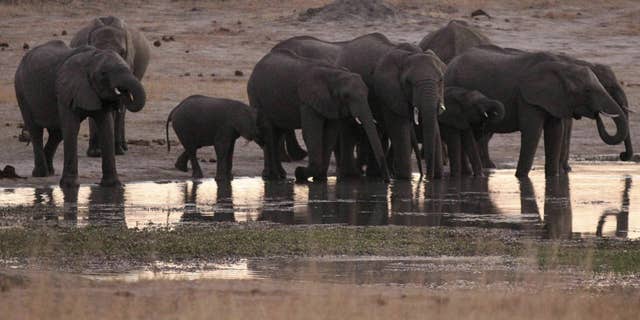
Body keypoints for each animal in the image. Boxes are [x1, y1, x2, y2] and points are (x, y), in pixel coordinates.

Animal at [14, 41, 146, 189]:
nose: (122, 93)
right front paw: (69, 186)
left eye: (129, 69)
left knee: (57, 134)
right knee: (36, 131)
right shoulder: (65, 90)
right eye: (103, 74)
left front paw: (113, 185)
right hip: (21, 91)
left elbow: (106, 128)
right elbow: (72, 128)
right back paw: (40, 173)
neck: (92, 58)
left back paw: (50, 171)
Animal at [249, 48, 390, 182]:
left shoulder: (333, 103)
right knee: (268, 131)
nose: (387, 180)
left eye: (367, 93)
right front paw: (300, 173)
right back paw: (270, 177)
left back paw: (280, 175)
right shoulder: (307, 101)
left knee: (278, 132)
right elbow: (312, 134)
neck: (335, 74)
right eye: (346, 96)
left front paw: (320, 178)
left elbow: (329, 135)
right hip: (256, 95)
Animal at [274, 33, 444, 181]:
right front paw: (404, 179)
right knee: (350, 128)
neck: (409, 54)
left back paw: (372, 175)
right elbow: (398, 127)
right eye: (409, 82)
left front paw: (436, 177)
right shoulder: (388, 90)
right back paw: (352, 175)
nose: (426, 177)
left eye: (441, 80)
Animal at [444, 45, 632, 178]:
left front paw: (554, 176)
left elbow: (555, 132)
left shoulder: (556, 99)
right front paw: (520, 177)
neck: (565, 66)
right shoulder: (529, 99)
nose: (622, 156)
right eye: (587, 91)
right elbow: (533, 132)